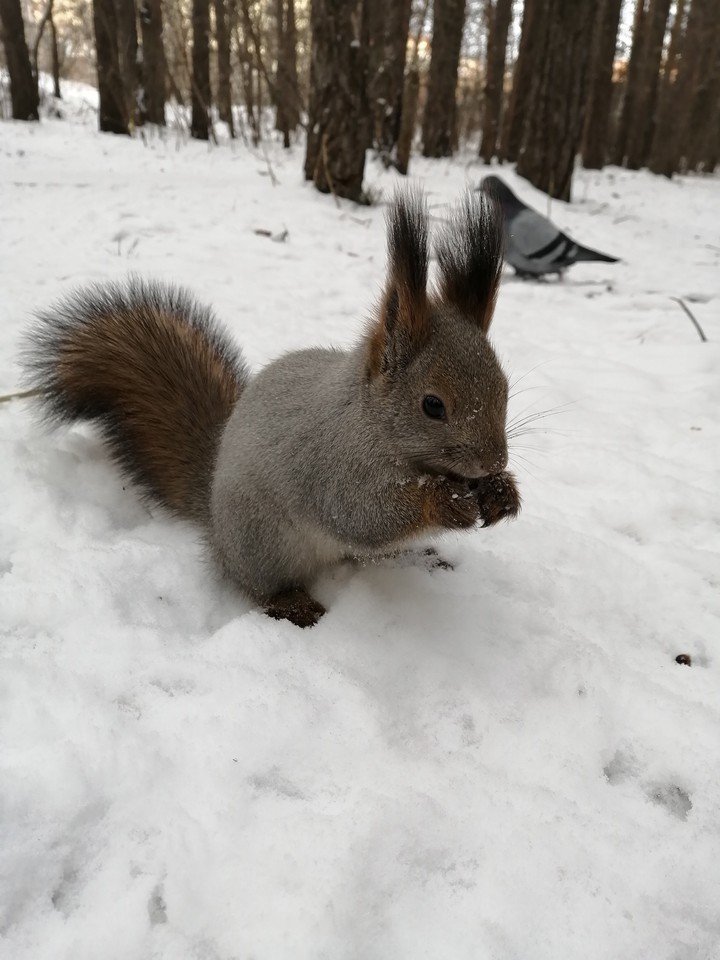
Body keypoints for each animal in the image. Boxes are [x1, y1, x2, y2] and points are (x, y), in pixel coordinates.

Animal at [20, 189, 521, 628]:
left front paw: (502, 493)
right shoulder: (336, 467)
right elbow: (364, 515)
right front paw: (446, 502)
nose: (494, 461)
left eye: (505, 387)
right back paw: (292, 603)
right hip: (262, 540)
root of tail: (215, 518)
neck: (372, 422)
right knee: (257, 584)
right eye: (432, 405)